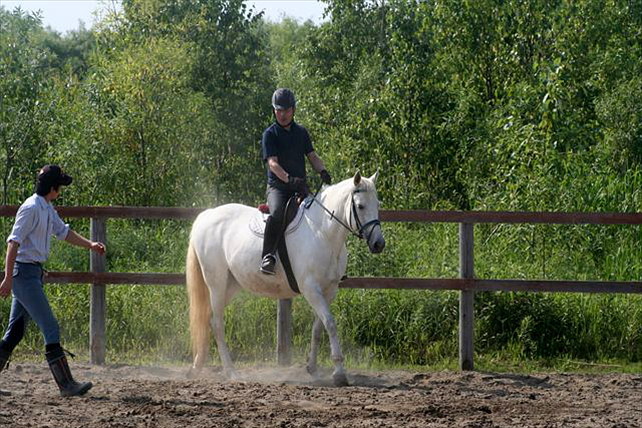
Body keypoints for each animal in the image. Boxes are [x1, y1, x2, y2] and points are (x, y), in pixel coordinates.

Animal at [186, 171, 385, 386]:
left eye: (377, 204)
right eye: (360, 206)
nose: (378, 244)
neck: (322, 232)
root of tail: (206, 216)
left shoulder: (329, 290)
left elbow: (318, 328)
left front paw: (312, 368)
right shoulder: (311, 289)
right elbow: (330, 324)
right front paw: (339, 373)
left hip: (230, 286)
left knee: (207, 318)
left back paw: (197, 367)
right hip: (216, 283)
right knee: (217, 323)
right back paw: (231, 372)